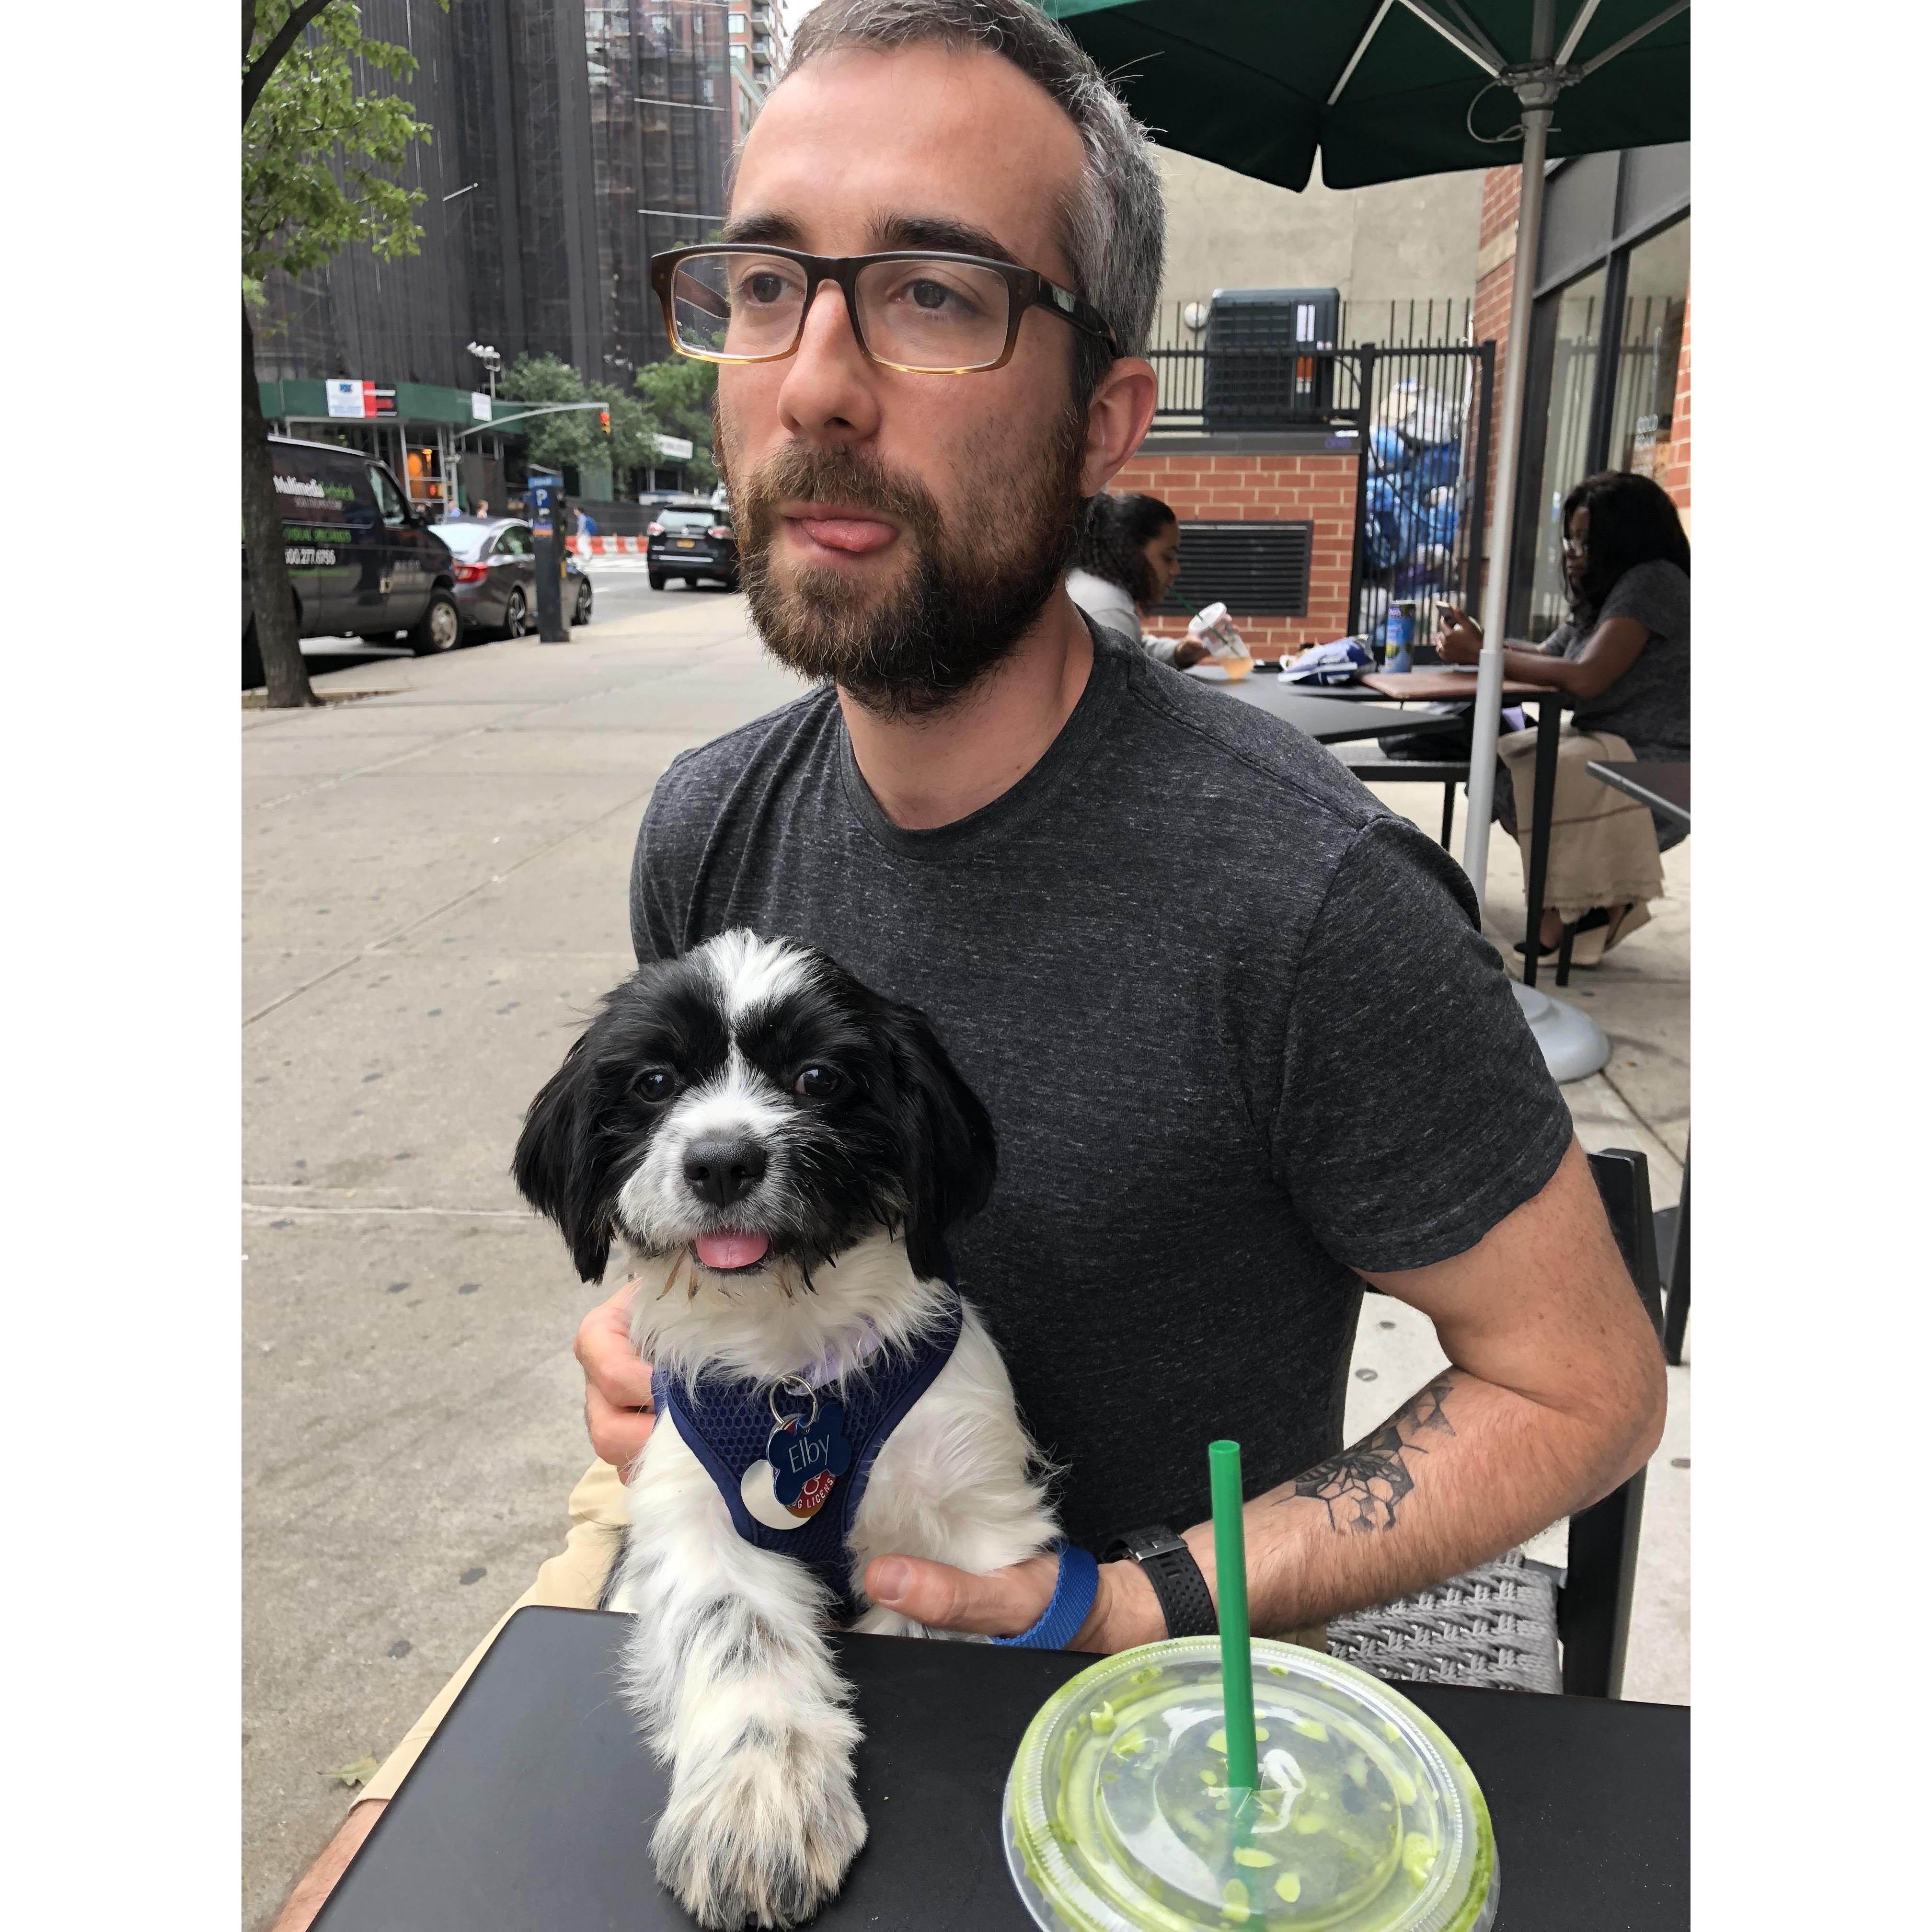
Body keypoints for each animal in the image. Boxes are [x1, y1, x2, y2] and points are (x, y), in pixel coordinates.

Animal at [506, 927, 1066, 1924]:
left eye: (816, 1076)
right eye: (653, 1081)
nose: (722, 1160)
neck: (791, 1369)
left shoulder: (969, 1522)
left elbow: (935, 1613)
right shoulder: (690, 1511)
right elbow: (734, 1629)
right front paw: (756, 1805)